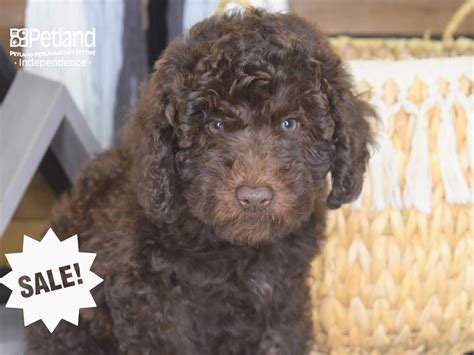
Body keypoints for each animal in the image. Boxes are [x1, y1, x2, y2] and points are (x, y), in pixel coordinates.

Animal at [25, 8, 374, 355]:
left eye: (290, 124)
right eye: (215, 125)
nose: (254, 196)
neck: (233, 247)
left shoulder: (282, 294)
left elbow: (282, 337)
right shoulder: (149, 300)